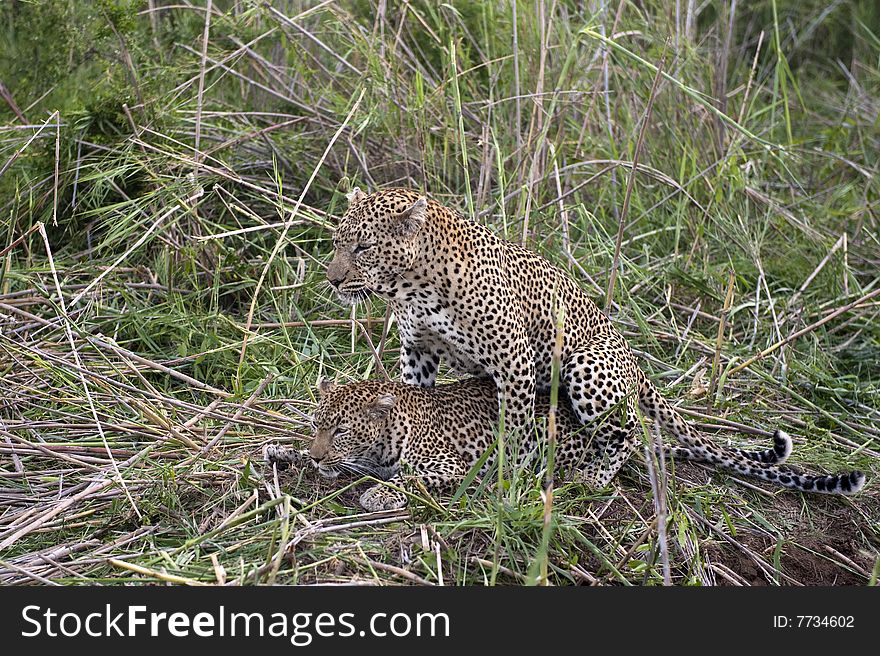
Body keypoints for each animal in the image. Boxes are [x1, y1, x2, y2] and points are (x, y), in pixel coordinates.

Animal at [326, 187, 844, 484]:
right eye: (337, 242)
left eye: (364, 246)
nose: (331, 279)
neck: (414, 285)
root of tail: (634, 360)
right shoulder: (418, 349)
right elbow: (412, 399)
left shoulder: (513, 363)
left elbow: (515, 428)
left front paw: (508, 478)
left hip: (584, 368)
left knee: (630, 432)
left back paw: (592, 478)